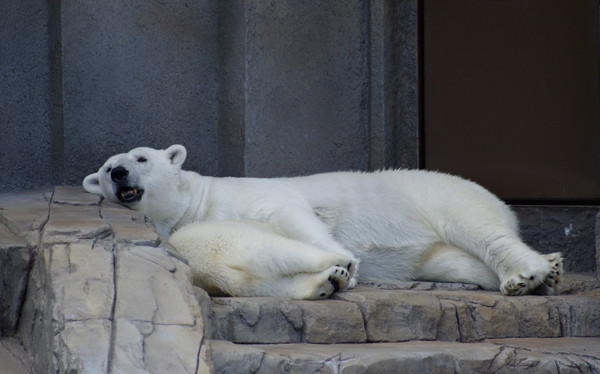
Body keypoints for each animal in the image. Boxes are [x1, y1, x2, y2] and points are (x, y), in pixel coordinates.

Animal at [83, 144, 564, 298]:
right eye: (106, 169)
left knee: (478, 230)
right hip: (429, 250)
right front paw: (326, 276)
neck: (200, 203)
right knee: (453, 260)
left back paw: (528, 272)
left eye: (141, 158)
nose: (119, 173)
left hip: (438, 197)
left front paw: (343, 260)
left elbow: (293, 215)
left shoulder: (254, 196)